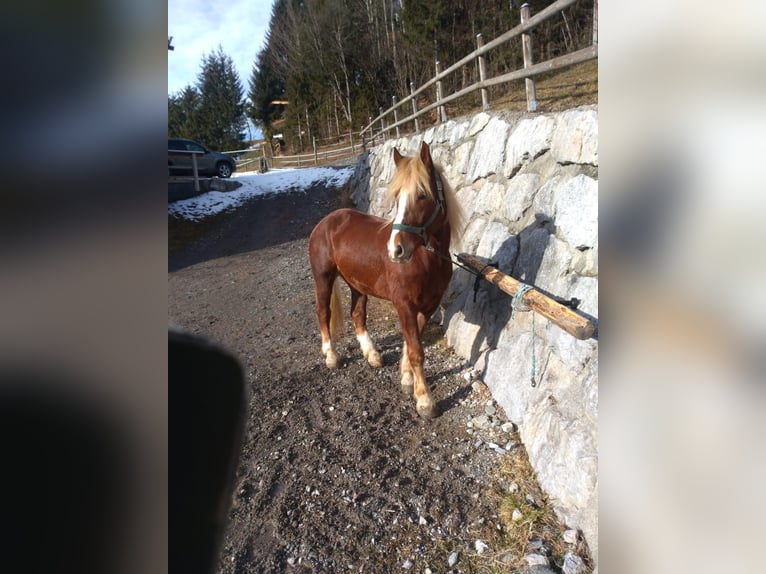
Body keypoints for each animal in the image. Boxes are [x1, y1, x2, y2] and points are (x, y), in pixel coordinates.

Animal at [308, 140, 464, 418]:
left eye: (422, 195)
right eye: (397, 196)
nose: (396, 250)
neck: (427, 259)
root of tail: (326, 222)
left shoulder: (428, 306)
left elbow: (411, 344)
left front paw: (407, 380)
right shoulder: (404, 305)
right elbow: (416, 351)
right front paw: (425, 401)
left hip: (357, 284)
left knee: (357, 314)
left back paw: (372, 354)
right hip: (323, 278)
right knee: (323, 312)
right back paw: (331, 356)